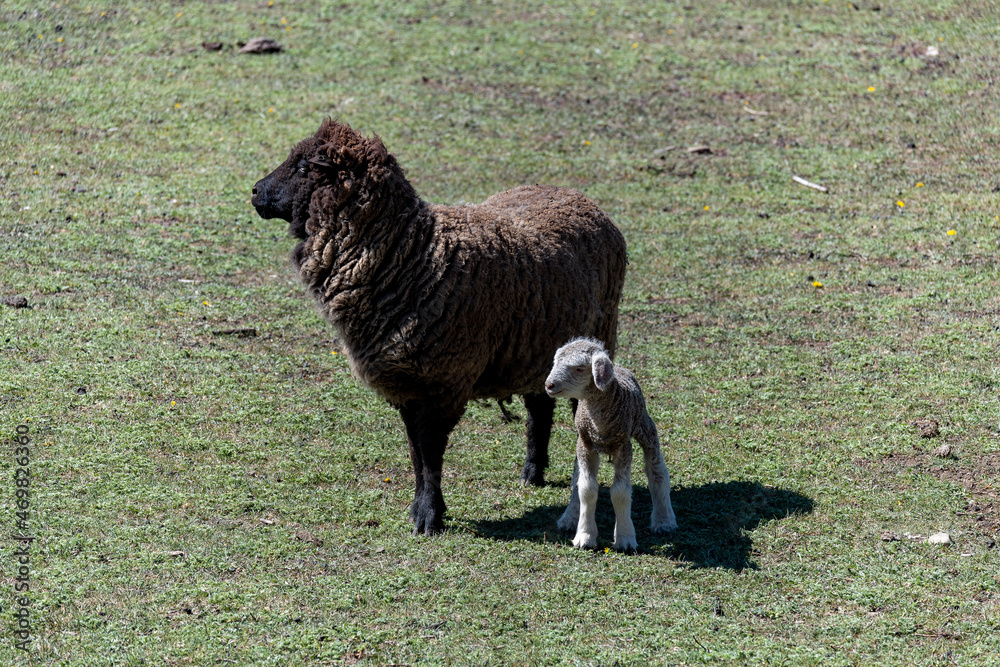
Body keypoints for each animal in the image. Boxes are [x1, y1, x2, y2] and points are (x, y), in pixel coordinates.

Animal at [251, 118, 627, 535]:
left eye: (304, 168)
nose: (255, 191)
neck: (412, 256)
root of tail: (579, 197)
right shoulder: (408, 385)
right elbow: (416, 452)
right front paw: (422, 508)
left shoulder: (445, 381)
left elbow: (430, 451)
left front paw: (429, 516)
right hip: (534, 349)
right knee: (539, 407)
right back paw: (533, 473)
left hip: (594, 337)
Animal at [544, 338, 676, 552]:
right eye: (556, 362)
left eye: (579, 368)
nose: (549, 385)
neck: (600, 423)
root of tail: (619, 367)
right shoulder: (585, 444)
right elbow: (586, 488)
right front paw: (584, 535)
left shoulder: (623, 446)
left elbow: (620, 492)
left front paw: (625, 538)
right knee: (577, 478)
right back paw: (570, 518)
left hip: (645, 426)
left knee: (657, 471)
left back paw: (664, 520)